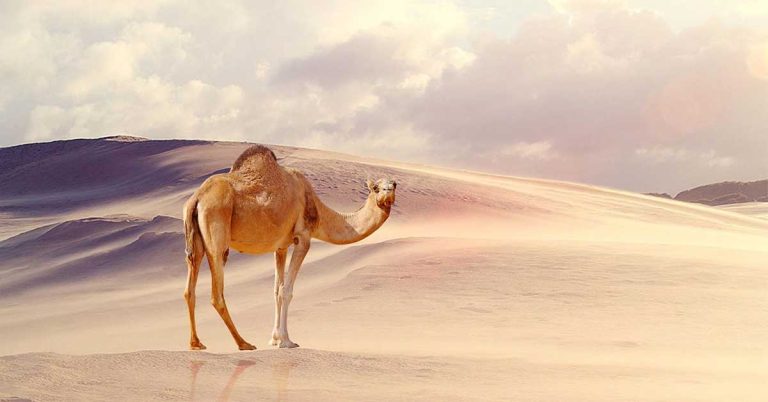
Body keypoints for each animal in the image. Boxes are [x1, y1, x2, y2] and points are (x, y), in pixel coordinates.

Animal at [182, 145, 396, 350]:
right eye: (376, 188)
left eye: (394, 185)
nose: (388, 192)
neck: (317, 209)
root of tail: (197, 198)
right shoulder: (303, 238)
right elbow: (287, 290)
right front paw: (286, 341)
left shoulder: (281, 247)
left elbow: (277, 290)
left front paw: (274, 339)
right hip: (217, 230)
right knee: (216, 293)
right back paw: (244, 343)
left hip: (195, 240)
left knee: (189, 288)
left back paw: (196, 343)